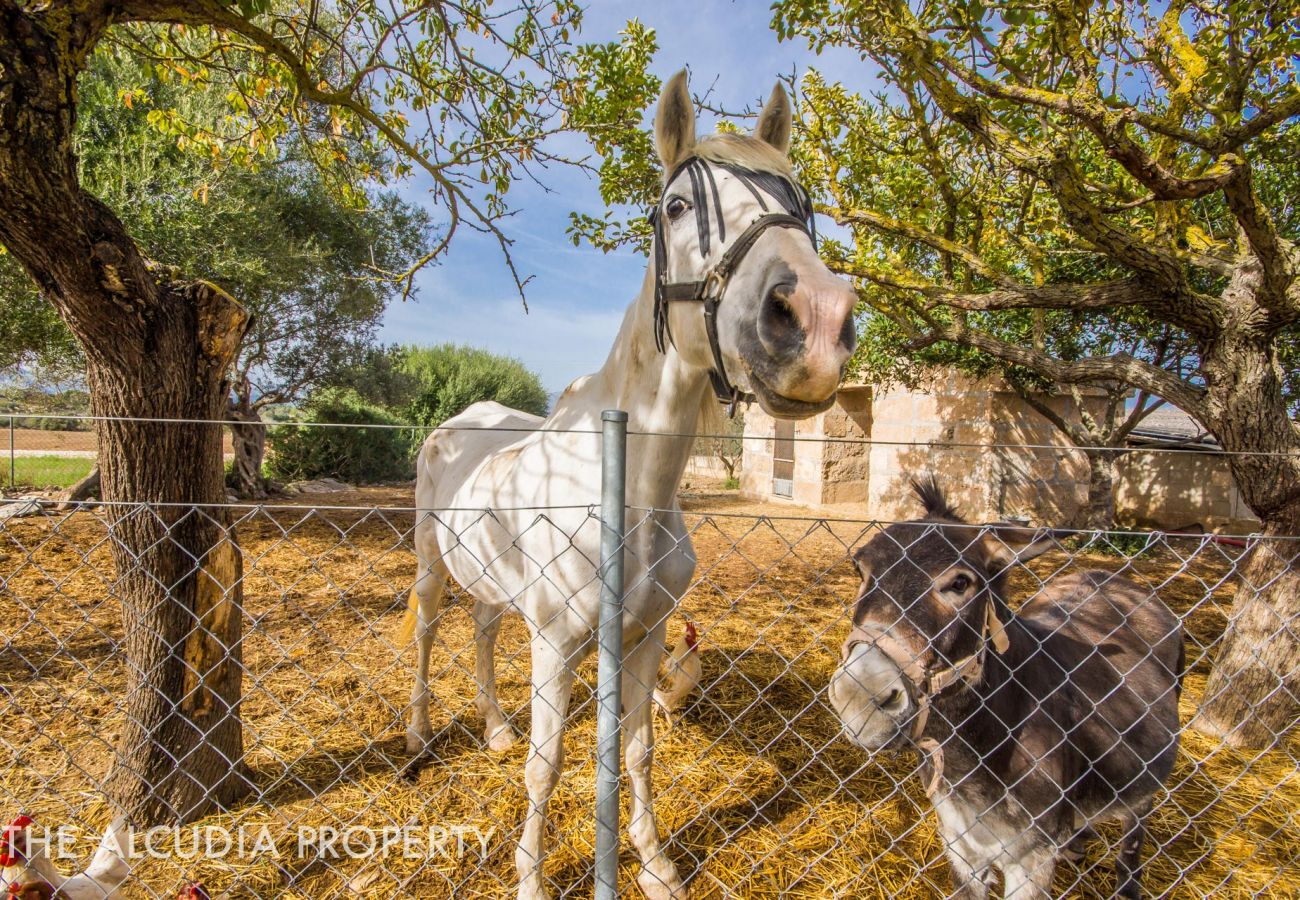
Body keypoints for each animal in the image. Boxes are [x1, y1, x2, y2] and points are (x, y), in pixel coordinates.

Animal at [400, 72, 857, 900]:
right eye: (676, 206)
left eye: (798, 201)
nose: (813, 321)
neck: (631, 494)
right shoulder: (556, 645)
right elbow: (546, 766)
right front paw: (531, 878)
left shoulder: (645, 639)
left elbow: (638, 752)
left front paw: (655, 863)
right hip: (429, 564)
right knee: (424, 633)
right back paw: (420, 731)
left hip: (492, 586)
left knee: (480, 632)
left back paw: (494, 727)